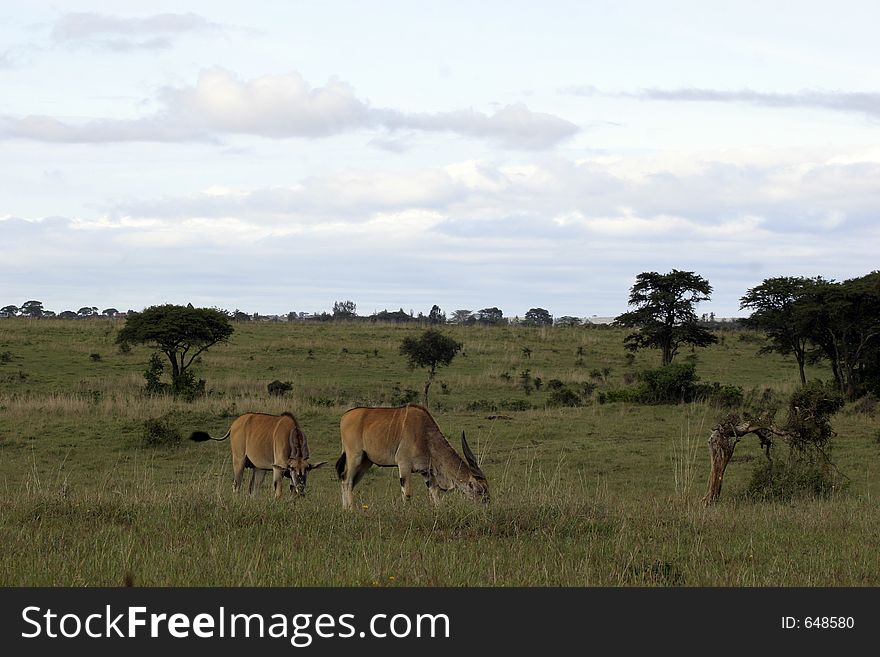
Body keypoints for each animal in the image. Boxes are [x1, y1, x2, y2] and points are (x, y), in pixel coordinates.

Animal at [187, 410, 324, 498]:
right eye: (293, 468)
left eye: (307, 469)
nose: (301, 487)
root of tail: (234, 424)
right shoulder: (278, 469)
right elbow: (278, 493)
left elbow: (292, 493)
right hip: (239, 461)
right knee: (236, 486)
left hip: (259, 469)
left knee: (253, 491)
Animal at [336, 402, 488, 510]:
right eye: (480, 491)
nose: (486, 505)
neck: (425, 435)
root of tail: (345, 416)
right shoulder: (404, 464)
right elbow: (407, 493)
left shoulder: (426, 472)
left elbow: (435, 492)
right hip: (355, 456)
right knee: (346, 480)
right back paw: (351, 509)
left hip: (366, 462)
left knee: (349, 481)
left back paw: (345, 509)